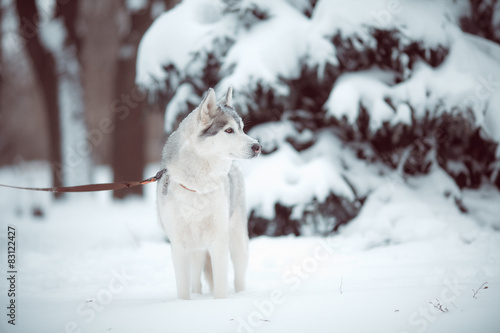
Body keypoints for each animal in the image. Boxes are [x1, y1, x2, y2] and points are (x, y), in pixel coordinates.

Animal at [157, 85, 262, 298]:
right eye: (229, 130)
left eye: (242, 128)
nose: (257, 146)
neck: (198, 188)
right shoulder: (179, 247)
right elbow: (184, 291)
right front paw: (185, 302)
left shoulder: (219, 243)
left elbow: (221, 286)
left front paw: (219, 303)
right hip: (196, 251)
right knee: (196, 280)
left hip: (238, 243)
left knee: (239, 277)